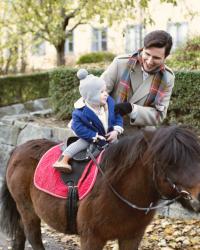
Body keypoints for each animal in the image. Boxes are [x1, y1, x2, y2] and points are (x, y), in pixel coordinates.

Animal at [0, 126, 200, 249]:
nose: (198, 198)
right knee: (32, 236)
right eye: (168, 161)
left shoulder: (132, 236)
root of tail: (18, 149)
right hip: (28, 210)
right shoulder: (91, 238)